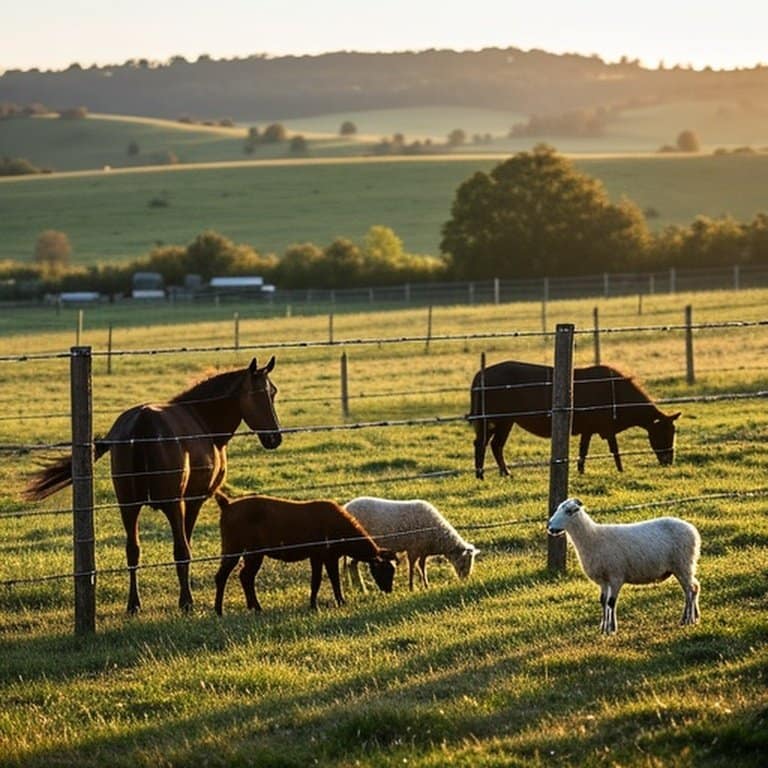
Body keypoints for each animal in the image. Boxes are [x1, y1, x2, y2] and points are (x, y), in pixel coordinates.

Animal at [23, 357, 282, 613]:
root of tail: (140, 424)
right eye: (258, 394)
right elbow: (185, 546)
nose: (275, 438)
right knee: (180, 550)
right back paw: (185, 601)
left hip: (128, 505)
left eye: (273, 392)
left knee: (133, 550)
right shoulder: (192, 501)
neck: (202, 420)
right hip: (172, 504)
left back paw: (133, 604)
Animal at [213, 491, 397, 614]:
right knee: (228, 576)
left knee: (244, 577)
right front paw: (336, 602)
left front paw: (317, 604)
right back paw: (224, 611)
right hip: (239, 548)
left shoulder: (320, 556)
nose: (389, 590)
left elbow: (320, 580)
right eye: (384, 571)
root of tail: (227, 504)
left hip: (245, 551)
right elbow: (329, 580)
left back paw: (251, 607)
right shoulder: (325, 555)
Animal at [343, 496, 478, 591]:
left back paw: (358, 588)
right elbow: (412, 568)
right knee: (352, 565)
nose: (465, 580)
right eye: (464, 562)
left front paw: (425, 585)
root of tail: (346, 507)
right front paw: (412, 587)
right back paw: (361, 588)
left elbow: (422, 567)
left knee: (351, 565)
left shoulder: (423, 551)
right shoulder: (413, 549)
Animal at [469, 360, 680, 479]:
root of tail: (480, 374)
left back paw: (505, 473)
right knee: (481, 443)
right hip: (494, 418)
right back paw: (480, 475)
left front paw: (580, 471)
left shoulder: (590, 428)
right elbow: (615, 450)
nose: (668, 461)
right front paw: (621, 470)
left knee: (495, 445)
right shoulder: (606, 427)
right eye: (663, 433)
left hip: (506, 421)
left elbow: (583, 451)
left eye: (673, 432)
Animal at [547, 497, 701, 634]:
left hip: (683, 565)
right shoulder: (604, 580)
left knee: (691, 590)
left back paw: (688, 619)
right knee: (693, 589)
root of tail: (693, 530)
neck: (593, 537)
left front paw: (612, 629)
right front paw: (603, 628)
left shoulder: (616, 576)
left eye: (568, 511)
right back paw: (691, 618)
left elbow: (611, 602)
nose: (549, 527)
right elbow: (603, 601)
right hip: (683, 567)